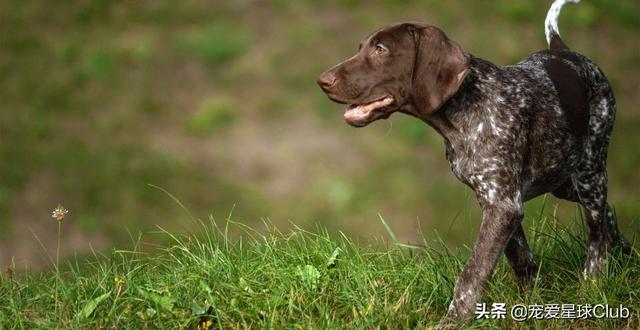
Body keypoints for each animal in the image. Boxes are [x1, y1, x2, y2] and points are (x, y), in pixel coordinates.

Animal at [316, 0, 632, 320]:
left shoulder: (503, 205)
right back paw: (624, 253)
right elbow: (520, 257)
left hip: (589, 169)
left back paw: (594, 281)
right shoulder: (499, 201)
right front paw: (529, 304)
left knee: (596, 231)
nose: (322, 81)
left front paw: (454, 319)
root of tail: (564, 50)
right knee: (607, 213)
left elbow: (473, 272)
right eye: (361, 48)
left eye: (381, 49)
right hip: (562, 179)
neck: (464, 109)